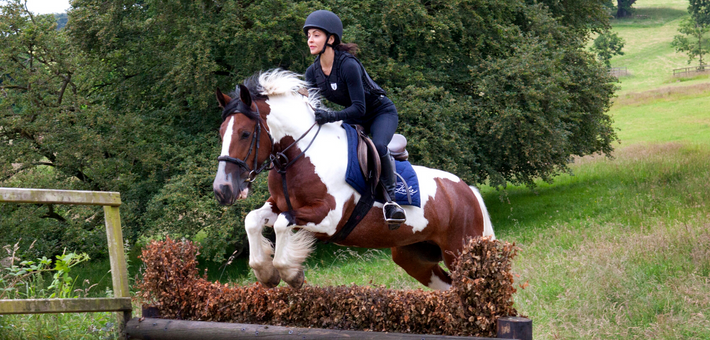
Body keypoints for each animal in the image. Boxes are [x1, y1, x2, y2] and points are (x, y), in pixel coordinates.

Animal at [214, 68, 498, 290]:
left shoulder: (329, 218)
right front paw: (266, 272)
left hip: (459, 251)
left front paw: (291, 274)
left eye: (245, 133)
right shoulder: (280, 205)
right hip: (414, 257)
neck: (300, 155)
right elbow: (253, 220)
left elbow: (283, 224)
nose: (222, 190)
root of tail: (466, 189)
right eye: (221, 133)